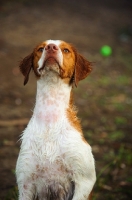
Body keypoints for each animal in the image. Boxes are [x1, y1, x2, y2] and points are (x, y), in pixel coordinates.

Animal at [16, 39, 96, 199]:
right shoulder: (25, 181)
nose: (51, 47)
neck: (50, 121)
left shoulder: (84, 180)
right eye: (40, 49)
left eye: (66, 50)